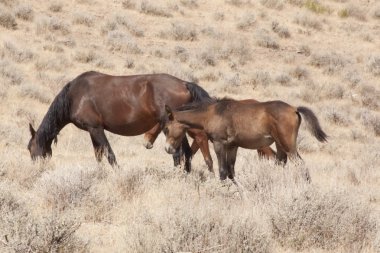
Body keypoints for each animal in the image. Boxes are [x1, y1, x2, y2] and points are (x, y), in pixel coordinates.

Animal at [27, 70, 212, 168]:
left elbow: (109, 155)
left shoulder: (96, 128)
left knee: (178, 154)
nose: (36, 167)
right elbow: (99, 155)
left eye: (30, 148)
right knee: (186, 153)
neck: (75, 96)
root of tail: (184, 83)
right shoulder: (92, 131)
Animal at [163, 98, 326, 183]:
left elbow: (222, 171)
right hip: (280, 145)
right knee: (281, 163)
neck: (211, 113)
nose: (168, 149)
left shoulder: (219, 143)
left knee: (301, 165)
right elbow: (231, 171)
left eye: (166, 128)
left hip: (288, 146)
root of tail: (294, 109)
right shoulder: (232, 146)